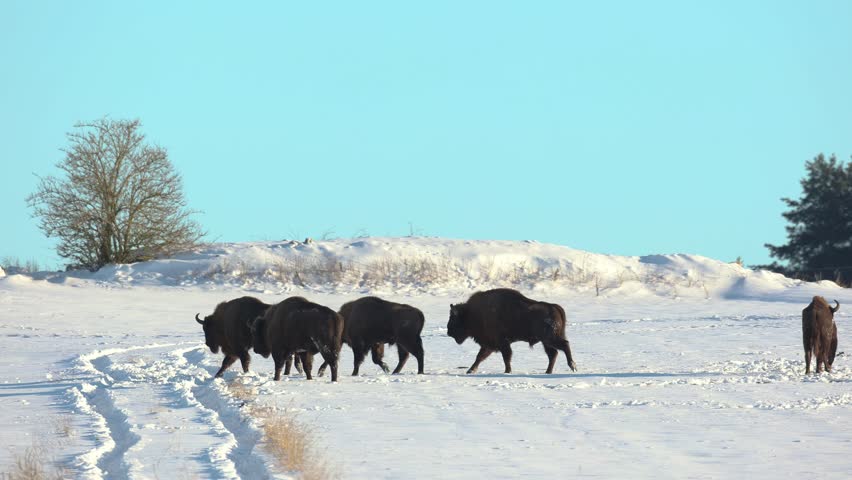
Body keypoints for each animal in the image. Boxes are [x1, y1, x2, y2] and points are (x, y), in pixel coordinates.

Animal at [447, 288, 576, 374]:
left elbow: (506, 356)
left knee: (564, 345)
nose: (449, 332)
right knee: (553, 354)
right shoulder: (490, 344)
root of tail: (555, 307)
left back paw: (572, 366)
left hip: (549, 339)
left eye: (453, 319)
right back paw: (548, 372)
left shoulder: (500, 343)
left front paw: (507, 371)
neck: (471, 313)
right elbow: (480, 357)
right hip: (546, 342)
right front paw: (470, 370)